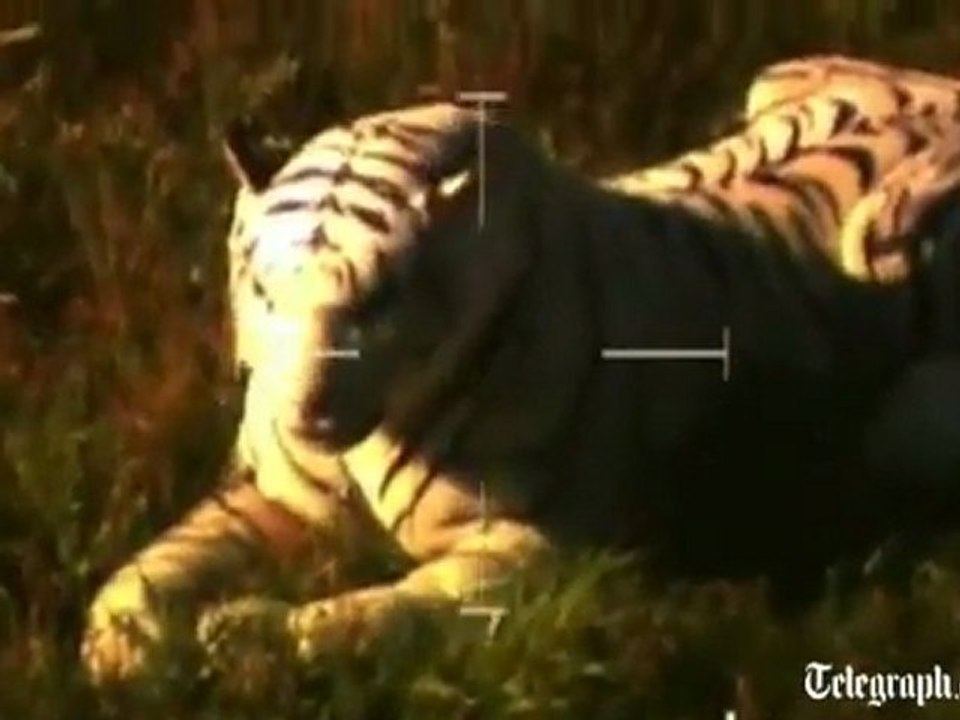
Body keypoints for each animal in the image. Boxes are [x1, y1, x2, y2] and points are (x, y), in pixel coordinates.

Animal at [82, 56, 960, 684]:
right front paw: (121, 645)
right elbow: (156, 565)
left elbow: (398, 608)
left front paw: (243, 638)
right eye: (265, 290)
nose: (305, 414)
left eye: (377, 299)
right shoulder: (273, 493)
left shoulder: (544, 545)